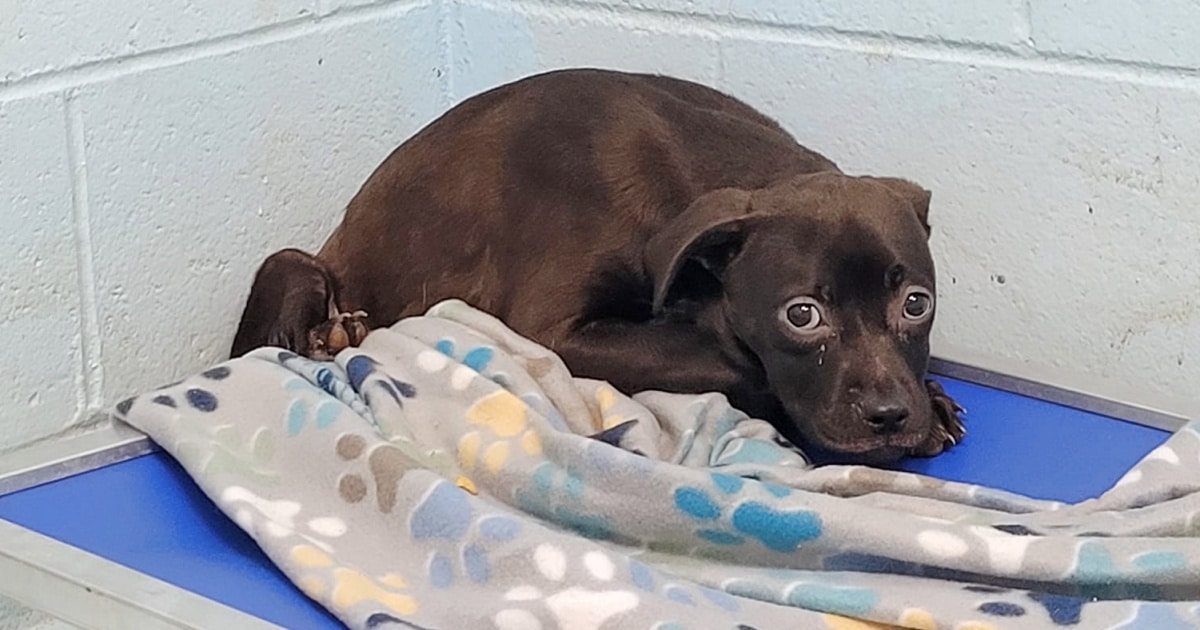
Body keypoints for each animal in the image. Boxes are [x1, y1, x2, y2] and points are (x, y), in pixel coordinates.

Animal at [231, 67, 964, 460]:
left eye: (916, 303)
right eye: (802, 315)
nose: (892, 416)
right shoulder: (556, 333)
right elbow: (729, 359)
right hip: (298, 265)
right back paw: (331, 333)